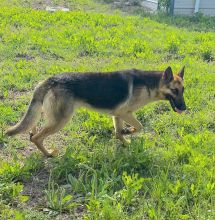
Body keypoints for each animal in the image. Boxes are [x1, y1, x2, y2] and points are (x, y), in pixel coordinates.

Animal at [5, 65, 186, 156]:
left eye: (183, 90)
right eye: (174, 91)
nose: (185, 108)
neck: (151, 84)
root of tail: (50, 80)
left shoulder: (117, 115)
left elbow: (118, 132)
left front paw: (125, 140)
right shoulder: (125, 113)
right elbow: (140, 126)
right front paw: (129, 133)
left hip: (48, 113)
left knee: (33, 126)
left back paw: (32, 133)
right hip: (61, 120)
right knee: (37, 138)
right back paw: (48, 153)